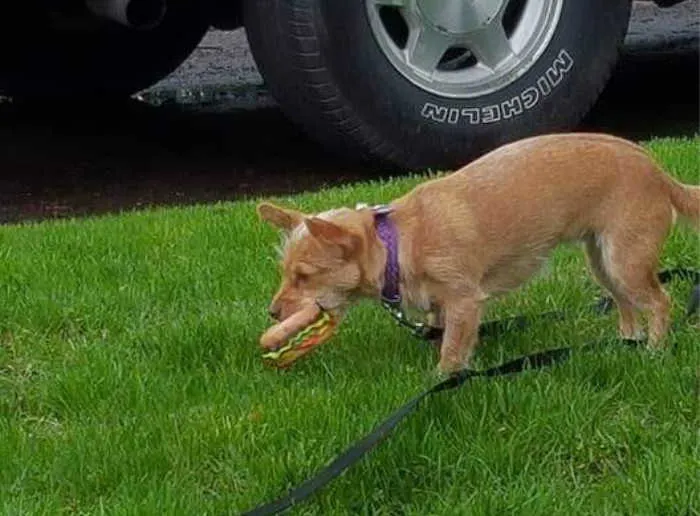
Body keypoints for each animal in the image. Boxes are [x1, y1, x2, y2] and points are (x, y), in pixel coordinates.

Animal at [258, 134, 700, 374]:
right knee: (626, 304)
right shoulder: (441, 306)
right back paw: (627, 340)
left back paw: (655, 351)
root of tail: (658, 172)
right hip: (603, 261)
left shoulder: (465, 301)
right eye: (284, 272)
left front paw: (443, 381)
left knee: (660, 302)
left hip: (625, 260)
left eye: (303, 276)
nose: (273, 313)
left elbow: (452, 350)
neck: (398, 240)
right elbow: (443, 334)